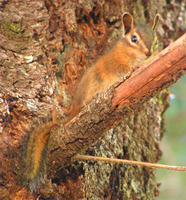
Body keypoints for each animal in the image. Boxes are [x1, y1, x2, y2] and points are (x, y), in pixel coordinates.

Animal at [21, 12, 159, 192]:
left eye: (155, 39)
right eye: (134, 39)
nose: (149, 53)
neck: (128, 52)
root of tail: (73, 110)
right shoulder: (114, 63)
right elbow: (122, 69)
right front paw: (133, 69)